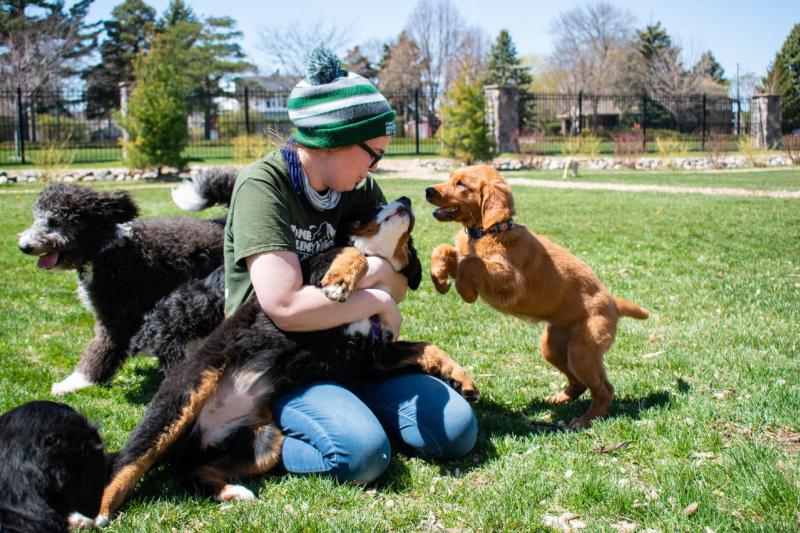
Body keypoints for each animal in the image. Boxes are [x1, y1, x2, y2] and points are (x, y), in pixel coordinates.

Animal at [96, 196, 478, 524]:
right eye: (372, 207)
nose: (406, 200)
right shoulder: (314, 276)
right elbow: (350, 252)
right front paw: (340, 281)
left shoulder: (373, 357)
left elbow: (427, 347)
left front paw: (461, 378)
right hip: (183, 398)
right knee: (128, 463)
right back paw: (97, 514)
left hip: (266, 441)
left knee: (189, 472)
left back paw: (232, 492)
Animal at [428, 164, 648, 426]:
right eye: (450, 178)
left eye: (461, 184)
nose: (428, 190)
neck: (486, 231)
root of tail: (614, 303)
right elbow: (444, 250)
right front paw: (439, 277)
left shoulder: (511, 282)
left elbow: (470, 263)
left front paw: (466, 291)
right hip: (553, 347)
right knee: (580, 383)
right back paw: (558, 400)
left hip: (582, 350)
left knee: (604, 389)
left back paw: (585, 420)